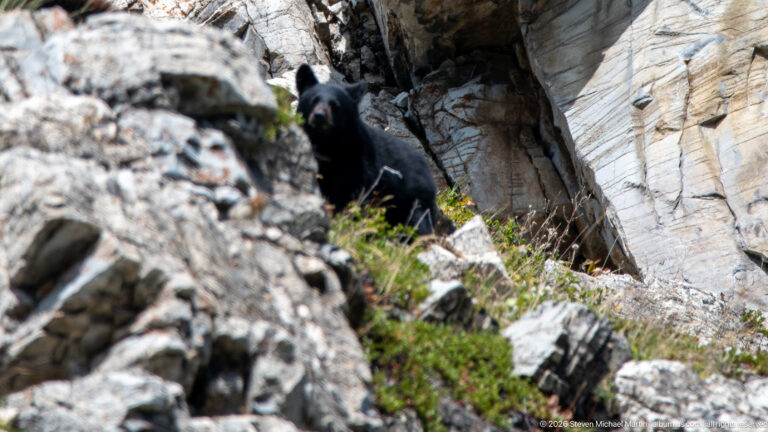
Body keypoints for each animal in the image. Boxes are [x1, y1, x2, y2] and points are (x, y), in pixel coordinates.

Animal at [295, 64, 437, 235]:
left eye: (335, 105)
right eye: (313, 100)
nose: (319, 116)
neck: (327, 144)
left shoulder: (359, 163)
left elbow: (355, 194)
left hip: (414, 197)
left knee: (419, 223)